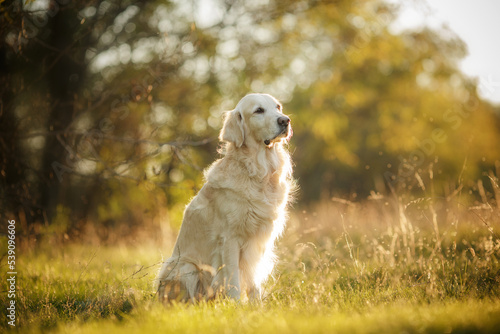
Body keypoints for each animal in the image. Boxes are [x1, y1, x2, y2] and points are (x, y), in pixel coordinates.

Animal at [157, 94, 292, 302]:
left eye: (278, 107)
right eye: (259, 110)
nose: (285, 120)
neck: (258, 173)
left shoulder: (257, 241)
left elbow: (253, 279)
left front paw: (257, 305)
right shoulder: (230, 239)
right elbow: (233, 277)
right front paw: (236, 305)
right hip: (185, 267)